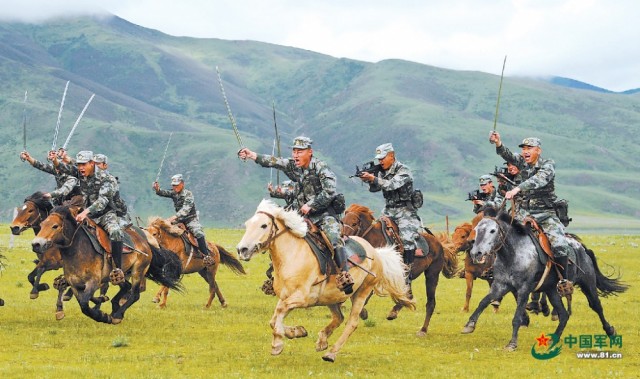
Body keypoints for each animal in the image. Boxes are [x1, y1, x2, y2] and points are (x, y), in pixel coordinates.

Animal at [31, 203, 184, 326]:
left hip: (138, 271)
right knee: (126, 287)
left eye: (55, 226)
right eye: (42, 225)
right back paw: (115, 307)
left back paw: (116, 315)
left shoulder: (93, 281)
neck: (78, 251)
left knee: (135, 294)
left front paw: (102, 316)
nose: (36, 244)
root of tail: (145, 241)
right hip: (122, 274)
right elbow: (82, 300)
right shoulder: (75, 284)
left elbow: (85, 305)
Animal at [236, 200, 416, 364]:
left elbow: (278, 314)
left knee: (351, 322)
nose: (242, 250)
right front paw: (298, 331)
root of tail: (376, 252)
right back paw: (322, 341)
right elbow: (274, 320)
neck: (293, 255)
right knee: (339, 318)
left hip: (362, 292)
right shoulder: (286, 297)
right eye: (247, 224)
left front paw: (277, 344)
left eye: (264, 225)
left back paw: (331, 353)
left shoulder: (301, 298)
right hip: (332, 297)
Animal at [340, 203, 460, 336]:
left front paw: (362, 313)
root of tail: (439, 244)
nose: (343, 239)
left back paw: (422, 329)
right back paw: (396, 311)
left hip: (432, 275)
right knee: (408, 294)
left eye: (354, 223)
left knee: (430, 302)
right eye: (342, 221)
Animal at [462, 209, 628, 352]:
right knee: (564, 314)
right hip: (552, 291)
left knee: (596, 306)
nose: (476, 253)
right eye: (477, 229)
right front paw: (469, 325)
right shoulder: (501, 285)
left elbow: (516, 317)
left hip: (588, 284)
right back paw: (554, 339)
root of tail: (582, 248)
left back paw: (610, 331)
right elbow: (483, 302)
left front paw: (512, 344)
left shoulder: (524, 289)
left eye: (492, 231)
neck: (513, 254)